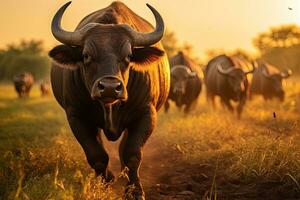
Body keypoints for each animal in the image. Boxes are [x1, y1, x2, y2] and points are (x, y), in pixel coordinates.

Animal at [49, 1, 171, 198]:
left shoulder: (146, 114)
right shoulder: (77, 117)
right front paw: (104, 185)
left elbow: (132, 154)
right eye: (86, 55)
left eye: (128, 56)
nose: (109, 87)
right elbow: (97, 156)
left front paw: (134, 191)